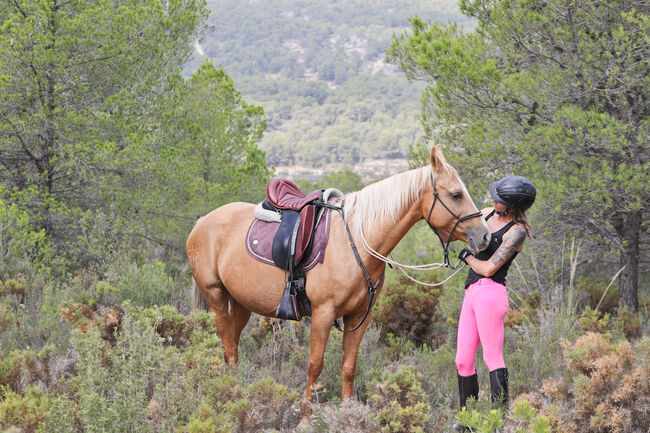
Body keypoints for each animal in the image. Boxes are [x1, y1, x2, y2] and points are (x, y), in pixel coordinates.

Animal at [185, 145, 488, 418]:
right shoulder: (323, 314)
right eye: (456, 194)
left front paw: (346, 413)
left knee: (233, 349)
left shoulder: (359, 316)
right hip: (215, 296)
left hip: (241, 303)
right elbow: (315, 365)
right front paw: (305, 418)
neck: (357, 240)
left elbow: (349, 366)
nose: (484, 236)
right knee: (227, 344)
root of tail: (202, 222)